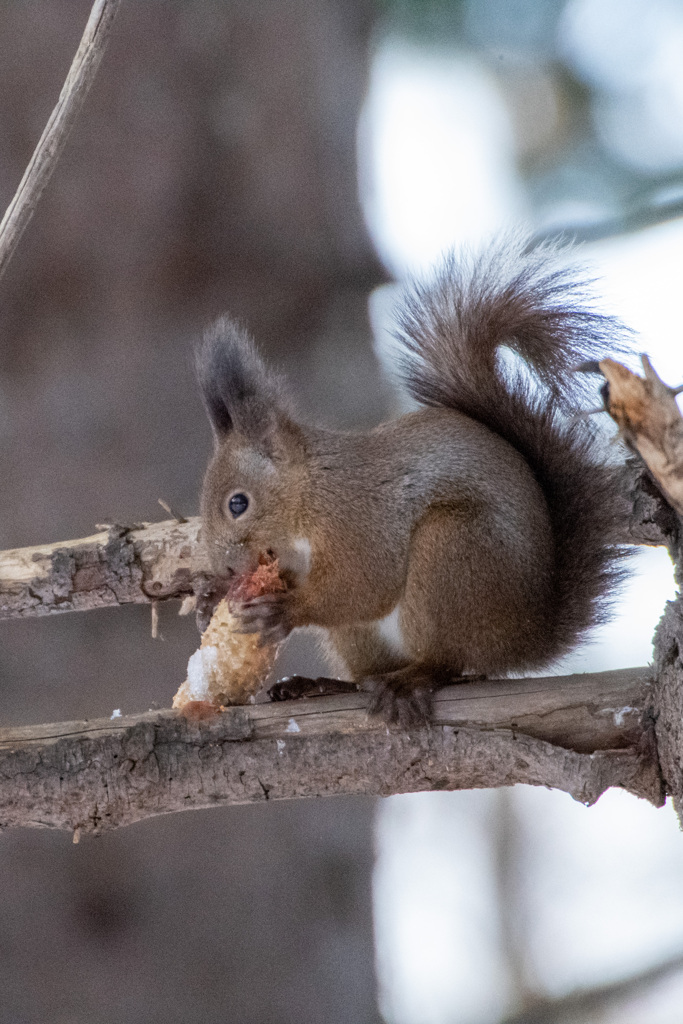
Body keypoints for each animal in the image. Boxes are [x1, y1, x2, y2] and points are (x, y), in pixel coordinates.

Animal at [192, 235, 630, 724]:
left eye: (238, 503)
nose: (228, 569)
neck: (310, 494)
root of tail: (524, 638)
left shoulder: (361, 520)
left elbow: (366, 585)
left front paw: (285, 609)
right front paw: (211, 597)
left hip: (452, 554)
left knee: (450, 662)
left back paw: (412, 680)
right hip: (367, 632)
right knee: (371, 672)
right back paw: (322, 685)